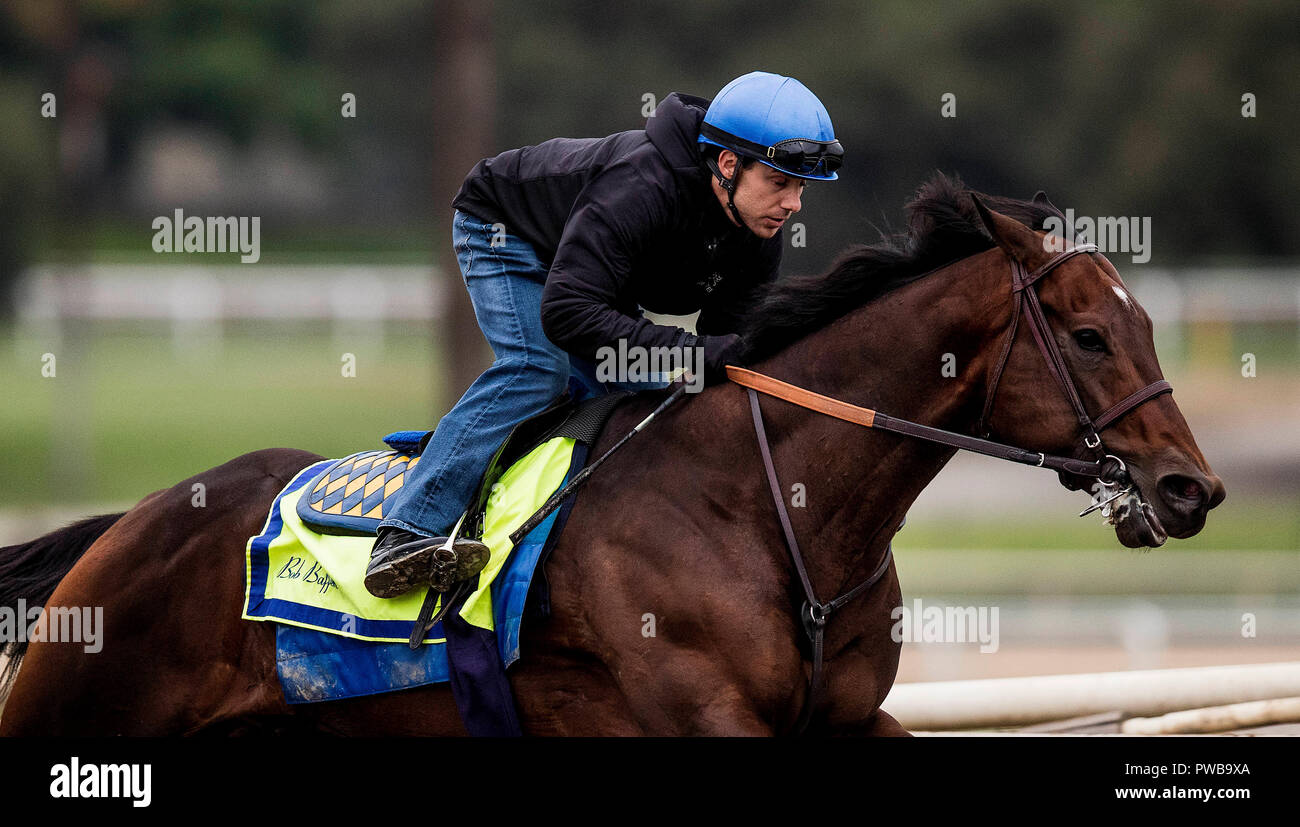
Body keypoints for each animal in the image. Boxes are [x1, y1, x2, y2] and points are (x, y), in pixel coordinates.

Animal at [0, 175, 1222, 738]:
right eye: (1090, 334)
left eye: (1148, 323)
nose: (1192, 487)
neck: (773, 510)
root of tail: (127, 524)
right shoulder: (703, 719)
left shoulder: (843, 717)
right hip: (78, 706)